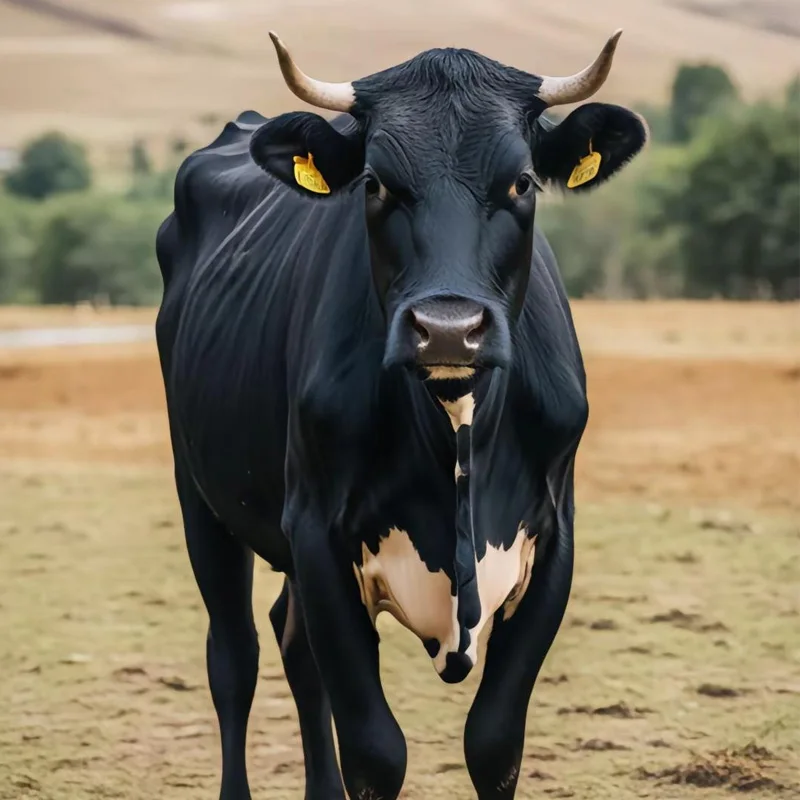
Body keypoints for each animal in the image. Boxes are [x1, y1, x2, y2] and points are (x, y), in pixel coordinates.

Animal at [154, 27, 647, 800]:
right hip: (200, 493)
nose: (447, 329)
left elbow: (494, 744)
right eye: (376, 183)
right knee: (235, 657)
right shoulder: (318, 532)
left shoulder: (553, 540)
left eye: (522, 182)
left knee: (293, 645)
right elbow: (374, 749)